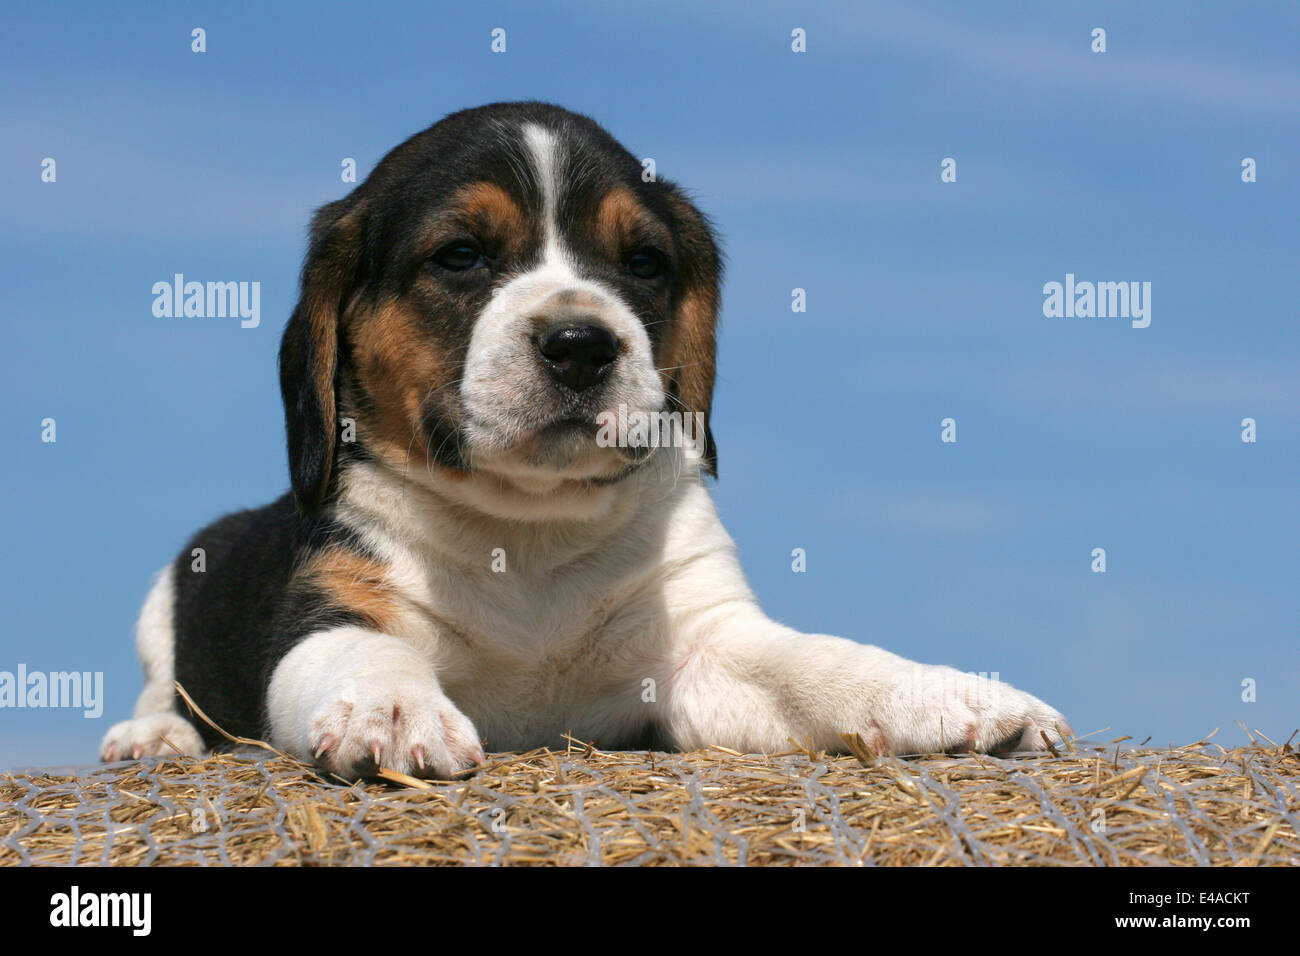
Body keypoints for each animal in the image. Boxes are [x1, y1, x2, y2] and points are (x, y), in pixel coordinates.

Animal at [101, 102, 1071, 780]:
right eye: (461, 255)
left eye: (643, 263)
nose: (581, 344)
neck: (528, 531)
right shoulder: (325, 610)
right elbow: (364, 651)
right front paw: (395, 711)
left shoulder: (704, 646)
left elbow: (820, 661)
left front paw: (944, 696)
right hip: (167, 596)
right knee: (163, 685)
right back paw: (153, 736)